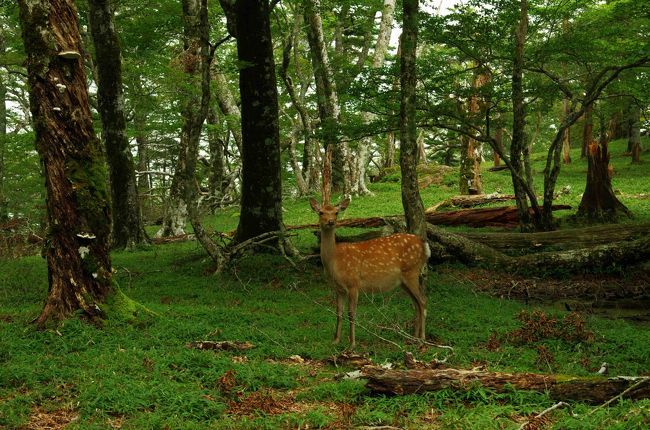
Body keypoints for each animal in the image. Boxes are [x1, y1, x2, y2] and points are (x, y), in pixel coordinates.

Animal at [310, 198, 430, 350]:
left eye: (336, 212)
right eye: (321, 212)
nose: (331, 221)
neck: (334, 260)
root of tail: (424, 245)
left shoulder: (353, 283)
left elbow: (351, 314)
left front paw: (352, 344)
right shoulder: (338, 288)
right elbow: (338, 313)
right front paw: (335, 340)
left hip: (412, 271)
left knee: (423, 301)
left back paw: (422, 340)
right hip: (404, 280)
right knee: (416, 304)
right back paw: (413, 339)